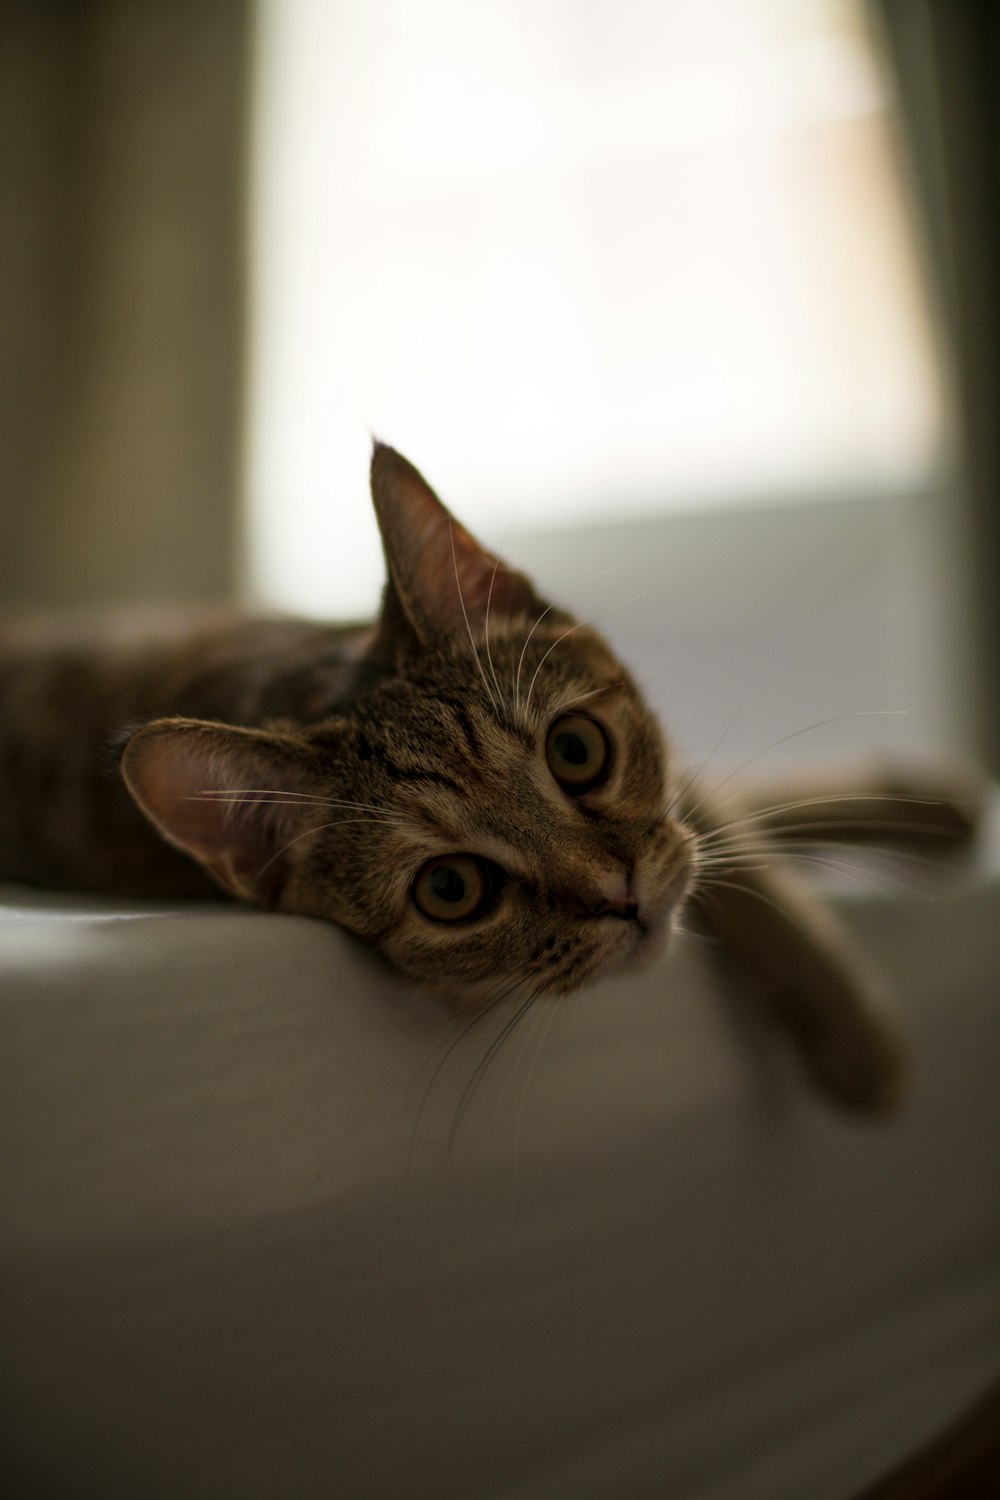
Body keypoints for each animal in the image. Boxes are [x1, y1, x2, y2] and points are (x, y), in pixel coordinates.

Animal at [0, 438, 977, 1110]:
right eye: (451, 889)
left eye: (577, 751)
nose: (620, 896)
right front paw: (856, 1038)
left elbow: (724, 824)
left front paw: (911, 816)